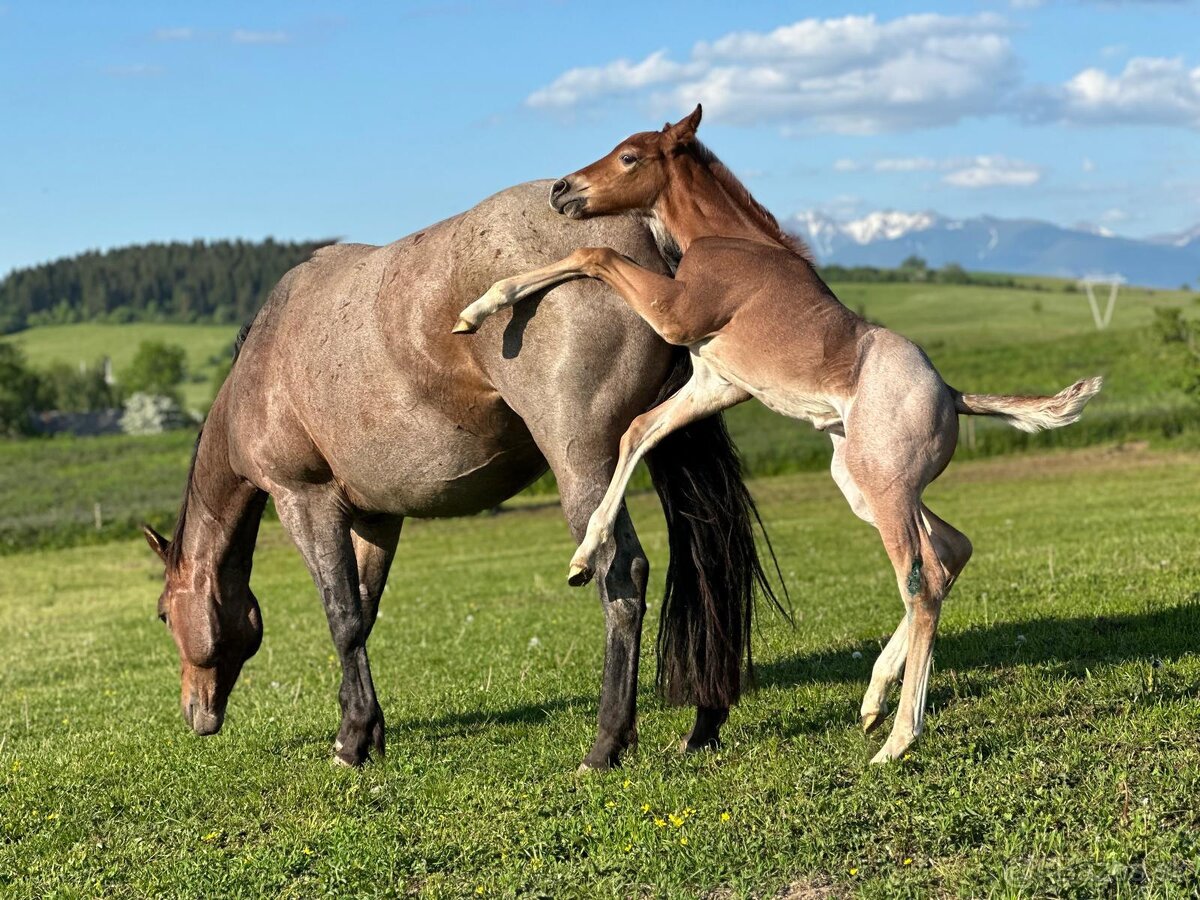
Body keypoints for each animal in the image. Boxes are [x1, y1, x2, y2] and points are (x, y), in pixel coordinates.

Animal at [141, 180, 780, 770]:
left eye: (164, 615)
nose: (194, 715)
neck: (263, 366)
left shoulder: (305, 501)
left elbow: (341, 618)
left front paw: (350, 741)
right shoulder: (376, 518)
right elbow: (363, 614)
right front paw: (367, 733)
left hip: (587, 466)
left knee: (621, 574)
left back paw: (606, 745)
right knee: (707, 562)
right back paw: (704, 724)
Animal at [454, 106, 1103, 763]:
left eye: (630, 157)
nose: (562, 190)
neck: (726, 241)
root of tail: (949, 392)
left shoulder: (675, 315)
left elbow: (595, 253)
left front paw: (479, 308)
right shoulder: (711, 382)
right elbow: (636, 432)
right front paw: (584, 555)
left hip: (887, 489)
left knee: (921, 584)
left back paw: (898, 737)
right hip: (865, 485)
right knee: (950, 554)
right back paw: (873, 699)